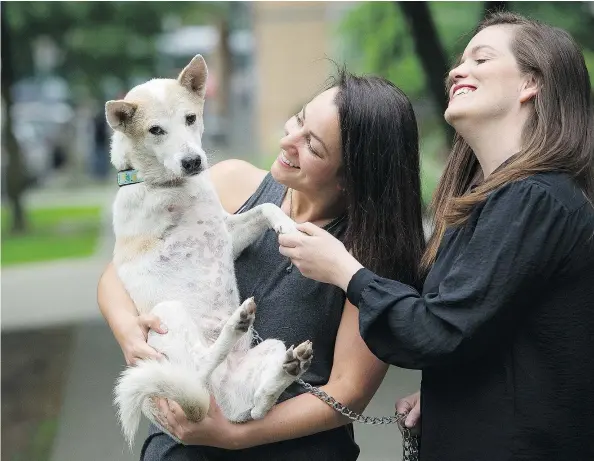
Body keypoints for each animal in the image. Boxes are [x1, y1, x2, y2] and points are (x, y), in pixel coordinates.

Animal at [104, 54, 312, 446]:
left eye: (190, 118)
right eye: (155, 130)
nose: (192, 162)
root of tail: (212, 398)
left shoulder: (227, 234)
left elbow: (265, 209)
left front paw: (288, 227)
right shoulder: (152, 212)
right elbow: (154, 194)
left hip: (270, 349)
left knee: (257, 410)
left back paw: (287, 370)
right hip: (168, 314)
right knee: (201, 366)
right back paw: (235, 325)